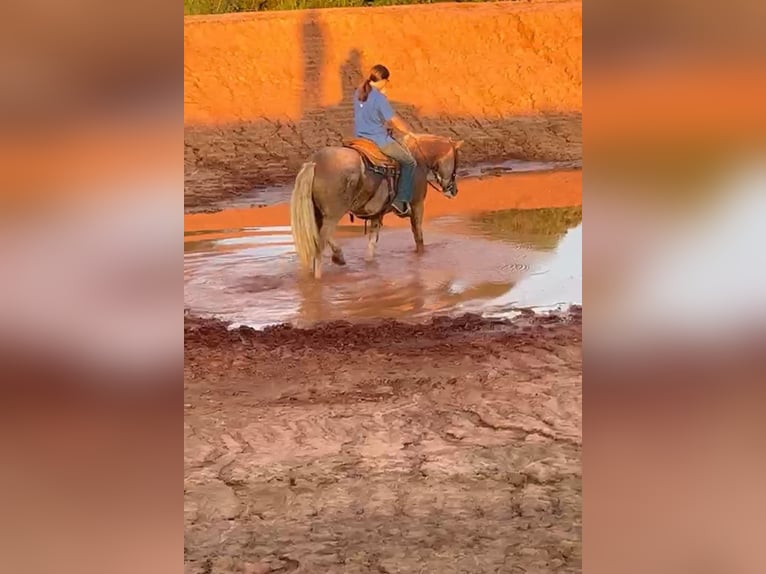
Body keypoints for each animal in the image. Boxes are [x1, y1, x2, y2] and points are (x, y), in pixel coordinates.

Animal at [292, 133, 464, 282]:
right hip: (332, 216)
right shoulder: (417, 206)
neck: (419, 159)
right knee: (319, 246)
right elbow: (419, 238)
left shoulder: (376, 215)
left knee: (318, 238)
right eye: (457, 159)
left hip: (317, 214)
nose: (454, 191)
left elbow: (371, 246)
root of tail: (315, 163)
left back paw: (338, 257)